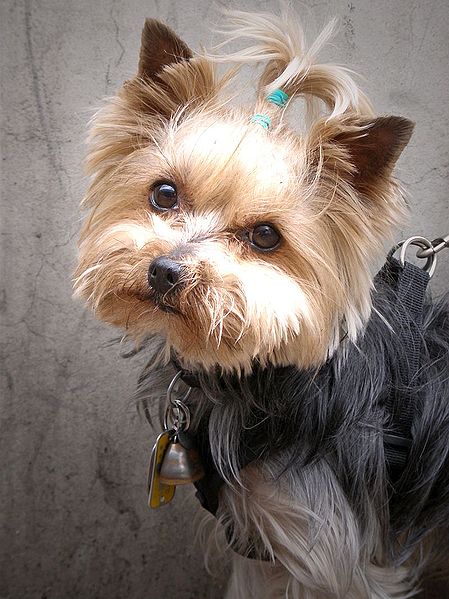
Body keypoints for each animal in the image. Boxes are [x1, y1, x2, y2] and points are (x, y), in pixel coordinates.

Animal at [75, 9, 448, 599]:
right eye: (163, 193)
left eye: (267, 236)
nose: (165, 272)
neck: (261, 376)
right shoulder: (259, 542)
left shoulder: (333, 555)